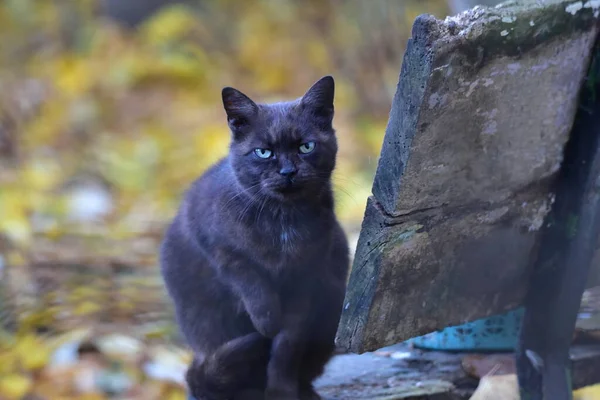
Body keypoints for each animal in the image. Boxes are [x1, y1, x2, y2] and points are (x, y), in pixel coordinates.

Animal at [161, 76, 352, 398]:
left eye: (306, 146)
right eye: (263, 152)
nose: (288, 171)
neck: (283, 220)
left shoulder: (307, 279)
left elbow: (287, 345)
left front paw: (281, 391)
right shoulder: (212, 239)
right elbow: (248, 277)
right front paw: (266, 322)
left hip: (333, 305)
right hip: (205, 318)